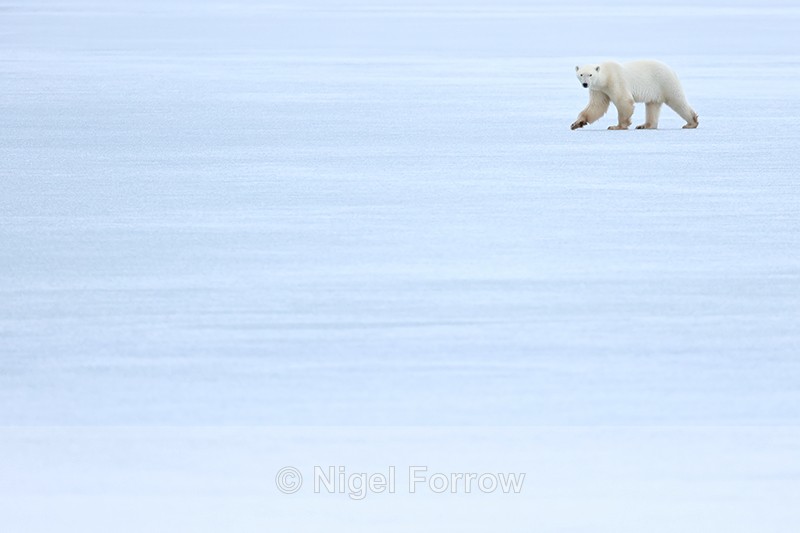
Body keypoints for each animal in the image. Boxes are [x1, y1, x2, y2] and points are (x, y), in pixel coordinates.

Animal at [570, 60, 698, 130]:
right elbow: (596, 106)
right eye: (581, 74)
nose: (585, 84)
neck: (606, 77)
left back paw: (691, 123)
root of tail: (671, 69)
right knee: (652, 106)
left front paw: (617, 126)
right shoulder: (598, 89)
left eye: (590, 74)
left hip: (665, 82)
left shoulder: (615, 81)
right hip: (655, 91)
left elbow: (624, 101)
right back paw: (645, 125)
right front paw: (576, 123)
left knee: (677, 101)